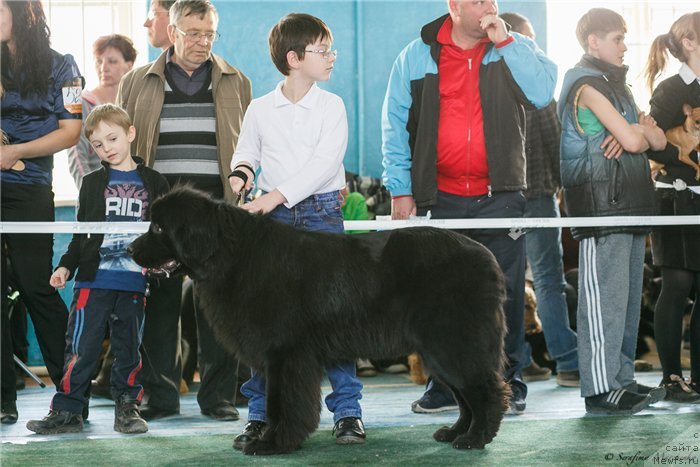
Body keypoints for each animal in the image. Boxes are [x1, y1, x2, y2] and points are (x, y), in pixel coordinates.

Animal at [129, 187, 506, 458]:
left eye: (159, 227)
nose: (130, 249)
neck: (229, 255)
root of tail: (487, 256)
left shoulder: (284, 355)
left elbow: (280, 402)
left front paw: (272, 443)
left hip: (452, 344)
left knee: (486, 391)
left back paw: (474, 438)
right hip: (440, 351)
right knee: (466, 395)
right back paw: (456, 432)